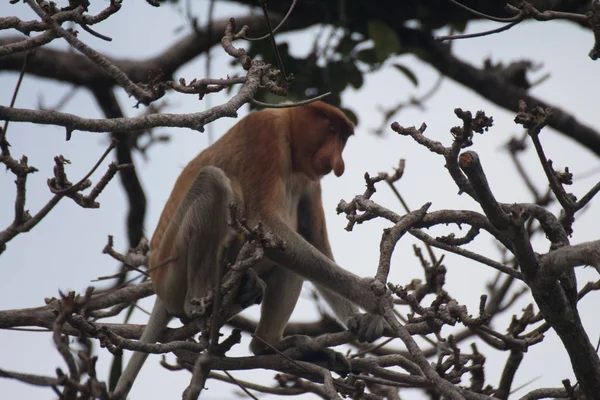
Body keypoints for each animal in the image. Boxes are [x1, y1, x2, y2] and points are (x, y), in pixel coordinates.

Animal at [115, 101, 390, 396]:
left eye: (343, 139)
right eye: (333, 132)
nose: (339, 165)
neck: (289, 135)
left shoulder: (309, 179)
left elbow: (315, 241)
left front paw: (363, 320)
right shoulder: (263, 132)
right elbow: (265, 222)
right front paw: (371, 296)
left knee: (290, 263)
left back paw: (270, 342)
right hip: (172, 271)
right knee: (212, 181)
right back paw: (201, 303)